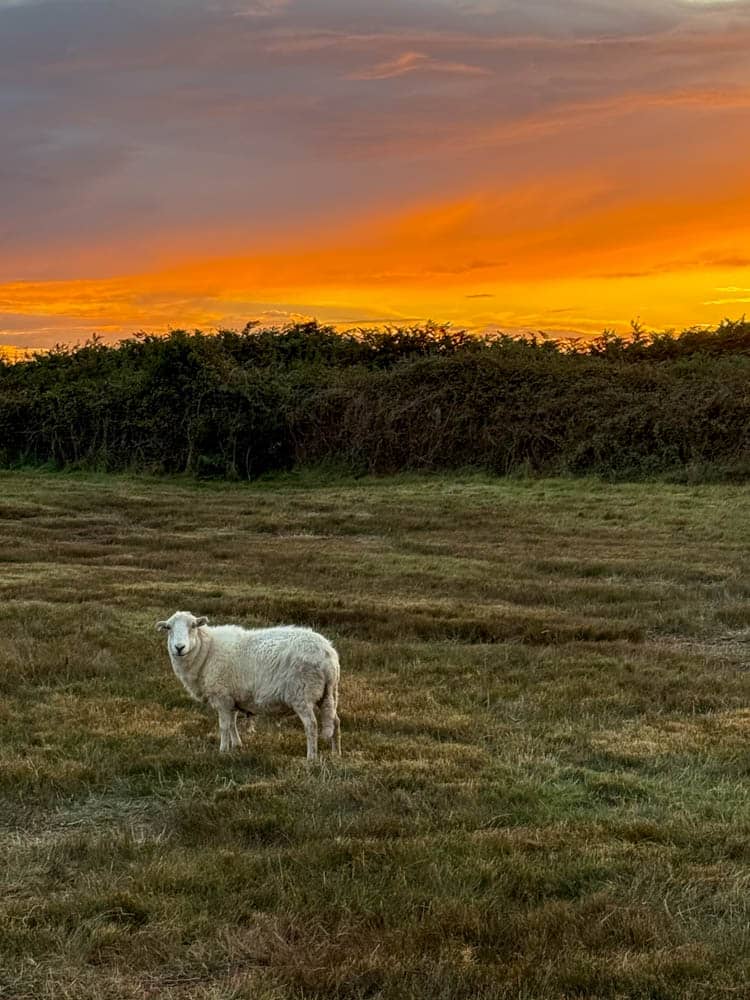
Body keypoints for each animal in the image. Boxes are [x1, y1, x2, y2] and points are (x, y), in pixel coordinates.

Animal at [155, 610, 341, 761]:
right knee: (335, 721)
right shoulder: (232, 698)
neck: (207, 651)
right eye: (168, 628)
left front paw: (222, 751)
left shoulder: (222, 696)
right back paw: (336, 754)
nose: (179, 647)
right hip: (328, 693)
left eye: (193, 626)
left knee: (311, 725)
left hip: (302, 693)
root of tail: (328, 655)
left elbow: (224, 726)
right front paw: (237, 746)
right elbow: (232, 724)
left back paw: (311, 758)